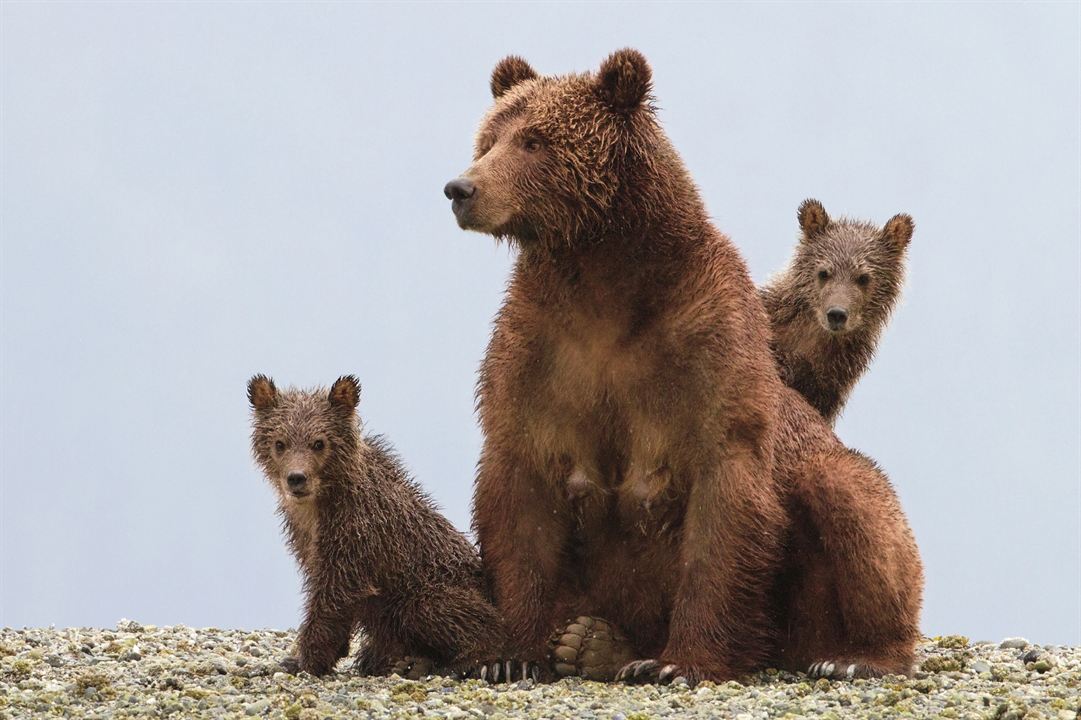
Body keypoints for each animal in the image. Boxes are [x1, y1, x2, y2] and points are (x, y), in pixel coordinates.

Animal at [443, 49, 925, 678]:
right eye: (488, 138)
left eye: (535, 140)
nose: (460, 188)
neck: (604, 280)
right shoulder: (540, 353)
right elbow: (520, 494)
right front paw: (509, 655)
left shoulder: (707, 346)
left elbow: (723, 499)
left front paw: (681, 662)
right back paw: (592, 641)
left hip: (816, 568)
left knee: (855, 503)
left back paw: (857, 655)